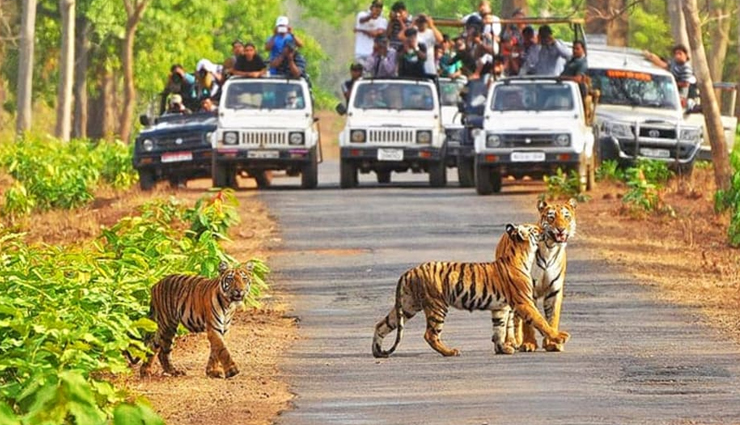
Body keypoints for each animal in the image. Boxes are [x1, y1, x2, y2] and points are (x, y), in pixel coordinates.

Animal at [372, 223, 571, 358]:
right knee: (430, 334)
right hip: (437, 305)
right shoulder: (524, 302)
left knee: (381, 324)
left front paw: (502, 349)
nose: (545, 228)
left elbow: (499, 328)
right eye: (535, 229)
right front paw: (559, 337)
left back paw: (377, 351)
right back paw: (450, 352)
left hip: (408, 306)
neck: (522, 255)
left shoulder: (500, 307)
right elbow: (540, 321)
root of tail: (408, 271)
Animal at [496, 198, 576, 353]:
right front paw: (529, 343)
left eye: (566, 216)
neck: (550, 248)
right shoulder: (528, 290)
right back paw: (511, 342)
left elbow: (552, 317)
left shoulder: (554, 290)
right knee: (511, 318)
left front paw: (552, 343)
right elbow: (529, 322)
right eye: (551, 217)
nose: (561, 229)